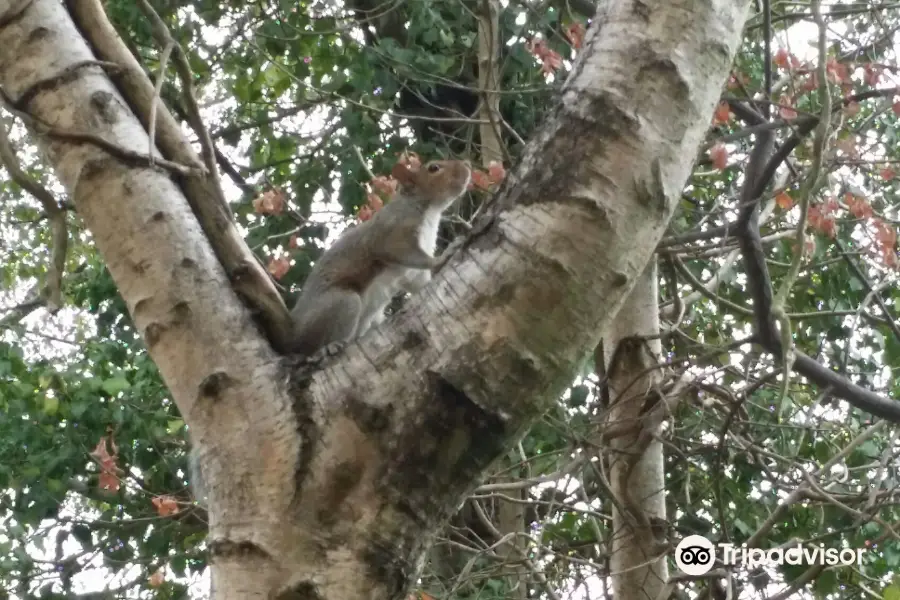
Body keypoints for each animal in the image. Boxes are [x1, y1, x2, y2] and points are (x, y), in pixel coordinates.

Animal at [189, 157, 472, 504]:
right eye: (433, 168)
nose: (466, 167)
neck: (426, 208)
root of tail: (293, 335)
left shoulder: (409, 273)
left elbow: (419, 282)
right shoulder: (393, 234)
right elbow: (402, 252)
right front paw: (446, 253)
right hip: (343, 304)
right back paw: (331, 347)